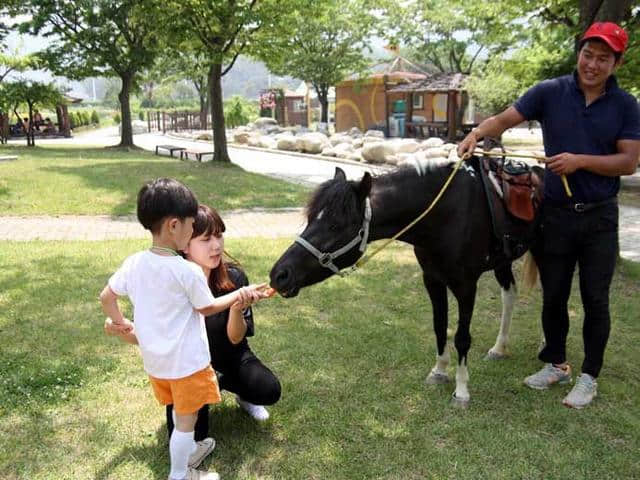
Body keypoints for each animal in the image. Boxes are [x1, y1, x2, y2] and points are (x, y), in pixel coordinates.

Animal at [270, 157, 544, 404]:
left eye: (336, 225)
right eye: (310, 218)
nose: (279, 275)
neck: (446, 214)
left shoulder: (466, 285)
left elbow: (462, 337)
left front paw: (462, 390)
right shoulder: (432, 279)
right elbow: (439, 326)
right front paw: (439, 371)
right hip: (503, 262)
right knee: (510, 295)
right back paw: (499, 348)